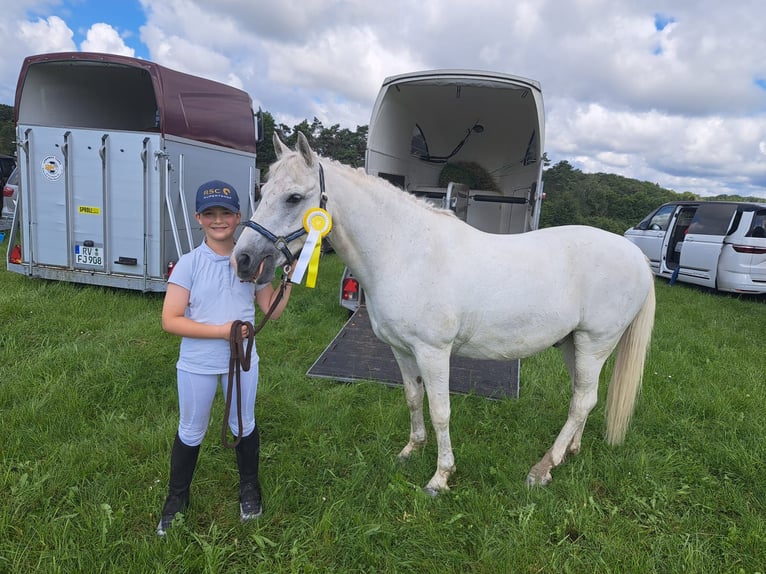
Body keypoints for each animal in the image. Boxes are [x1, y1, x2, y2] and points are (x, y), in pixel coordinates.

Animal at [232, 132, 656, 496]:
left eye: (294, 197)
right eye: (262, 191)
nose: (245, 260)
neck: (405, 252)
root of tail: (635, 255)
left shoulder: (433, 352)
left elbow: (440, 411)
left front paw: (440, 477)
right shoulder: (402, 350)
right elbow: (412, 398)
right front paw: (410, 451)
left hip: (595, 343)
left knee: (582, 401)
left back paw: (542, 469)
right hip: (573, 344)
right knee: (584, 397)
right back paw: (569, 453)